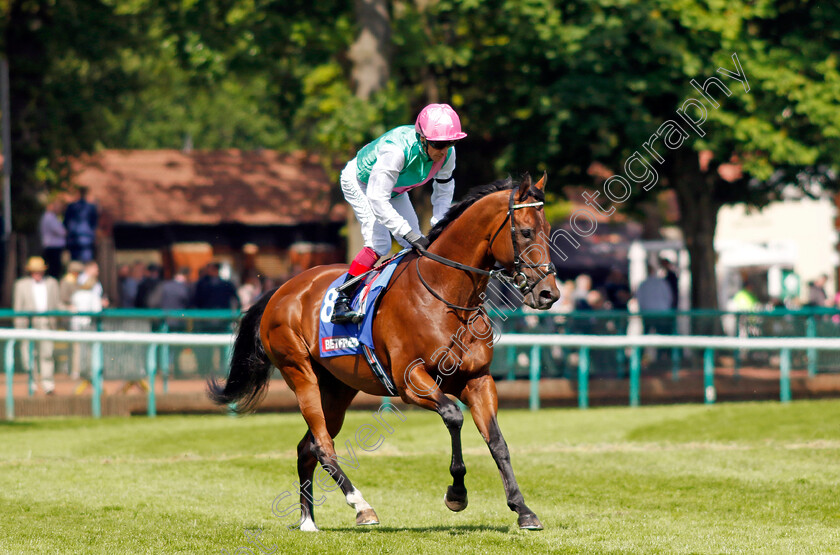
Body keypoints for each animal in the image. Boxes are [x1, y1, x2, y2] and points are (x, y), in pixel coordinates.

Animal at [208, 176, 560, 532]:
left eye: (547, 228)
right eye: (526, 231)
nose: (549, 293)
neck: (445, 295)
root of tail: (281, 290)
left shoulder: (477, 379)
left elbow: (497, 441)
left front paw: (523, 509)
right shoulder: (411, 382)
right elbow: (453, 416)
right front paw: (457, 493)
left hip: (336, 389)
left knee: (307, 447)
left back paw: (308, 520)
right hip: (300, 373)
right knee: (323, 446)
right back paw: (361, 506)